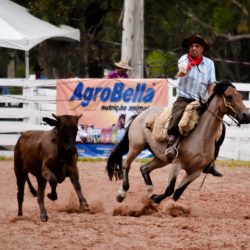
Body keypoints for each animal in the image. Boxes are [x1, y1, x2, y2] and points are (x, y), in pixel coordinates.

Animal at [106, 80, 250, 205]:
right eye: (229, 96)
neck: (201, 138)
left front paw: (168, 206)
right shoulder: (176, 164)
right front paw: (155, 199)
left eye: (240, 96)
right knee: (126, 165)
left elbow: (177, 192)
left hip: (161, 158)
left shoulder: (196, 172)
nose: (246, 115)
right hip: (136, 146)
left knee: (144, 168)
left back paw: (149, 192)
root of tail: (141, 115)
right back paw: (122, 193)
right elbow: (169, 189)